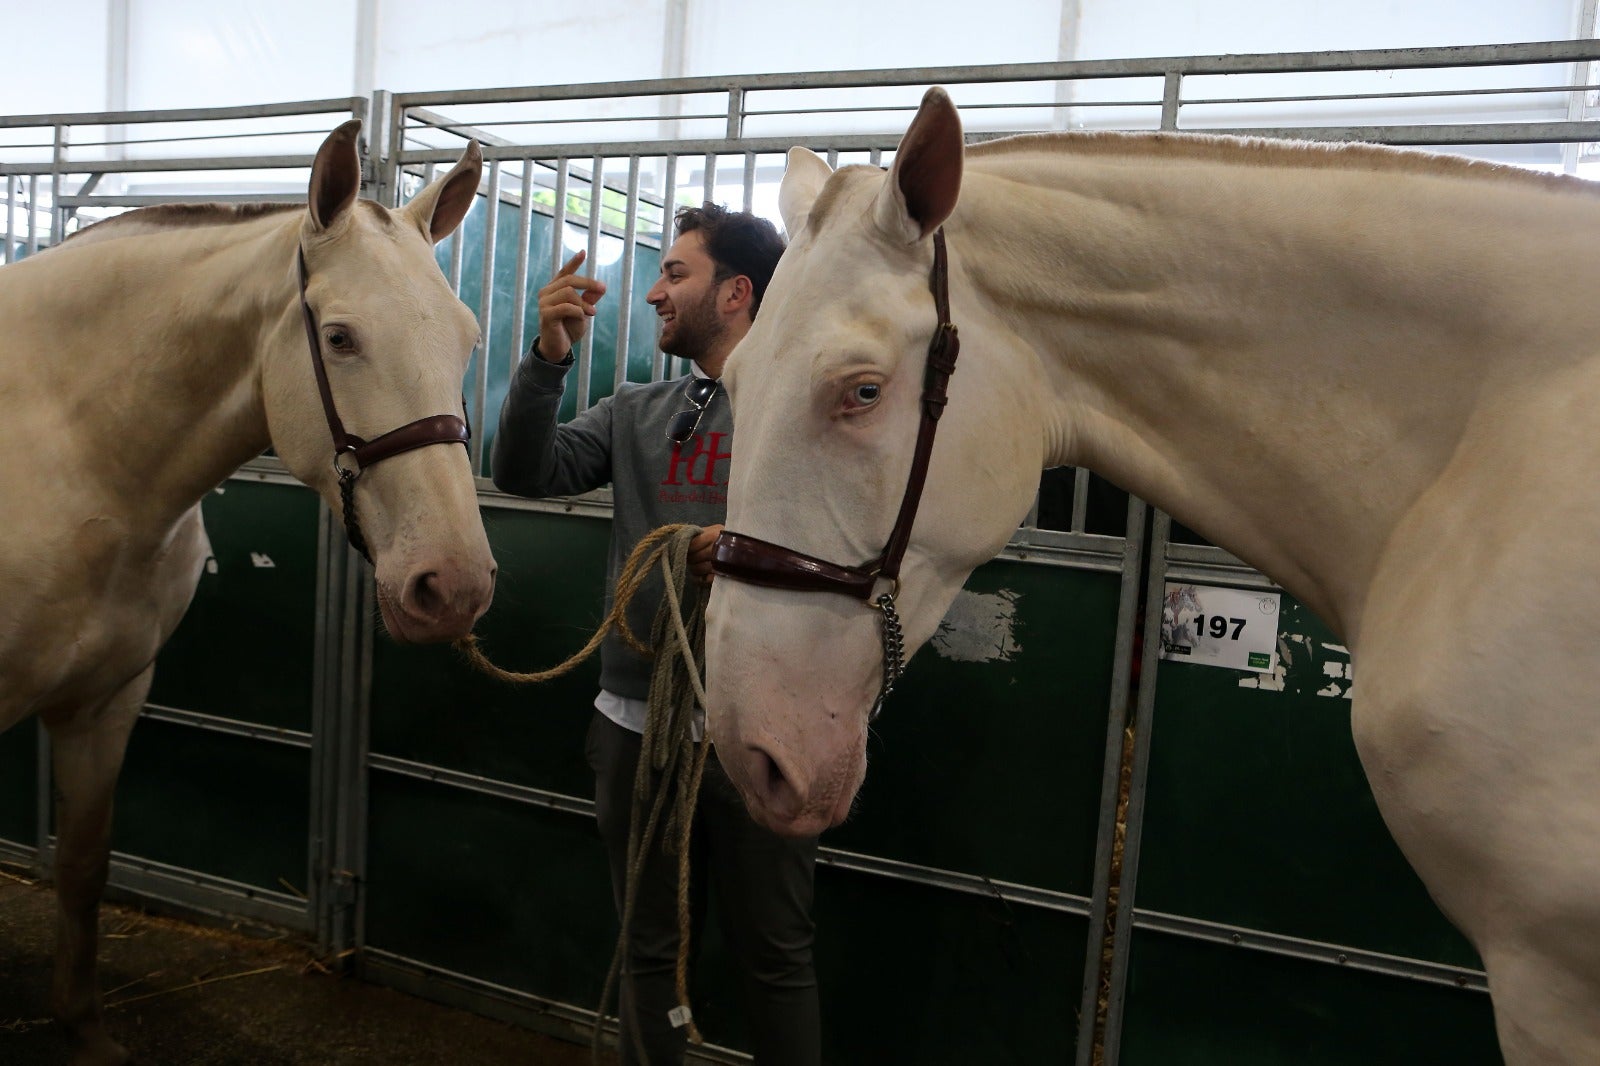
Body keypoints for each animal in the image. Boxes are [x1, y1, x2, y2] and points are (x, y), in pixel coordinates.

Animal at [0, 120, 492, 1056]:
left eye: (470, 337)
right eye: (339, 338)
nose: (453, 585)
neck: (70, 448)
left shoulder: (108, 698)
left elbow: (83, 865)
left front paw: (82, 1027)